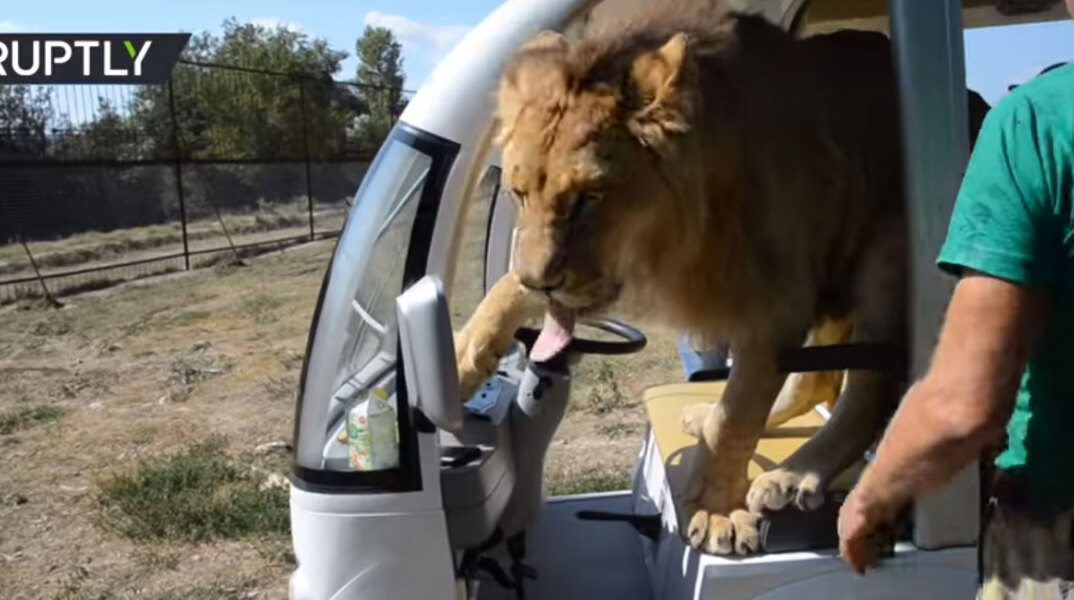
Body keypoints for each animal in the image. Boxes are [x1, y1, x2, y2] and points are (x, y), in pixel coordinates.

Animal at [454, 0, 983, 555]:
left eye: (588, 199)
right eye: (518, 194)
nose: (542, 283)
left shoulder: (774, 300)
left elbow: (737, 417)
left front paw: (715, 511)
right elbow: (507, 284)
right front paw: (461, 358)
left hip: (887, 255)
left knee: (867, 391)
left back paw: (793, 476)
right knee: (814, 381)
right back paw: (704, 417)